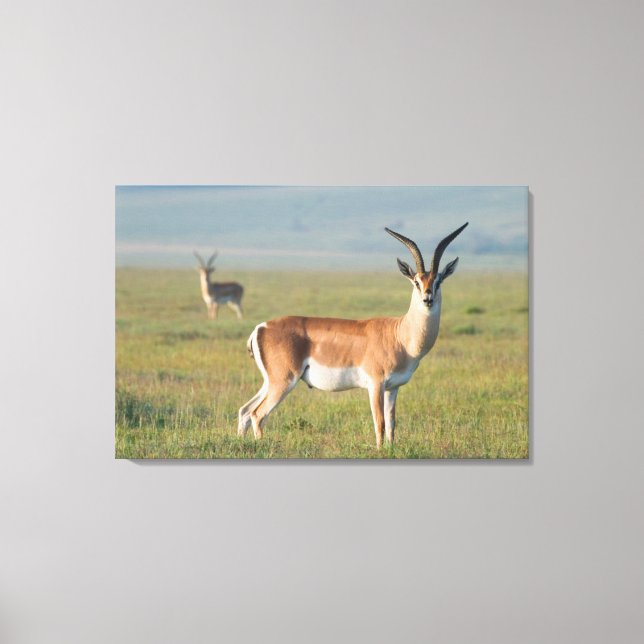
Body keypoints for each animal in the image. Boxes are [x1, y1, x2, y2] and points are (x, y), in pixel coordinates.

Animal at [237, 222, 468, 448]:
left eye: (438, 281)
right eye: (416, 281)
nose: (427, 299)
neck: (400, 336)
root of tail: (261, 327)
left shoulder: (393, 388)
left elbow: (392, 424)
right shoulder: (375, 384)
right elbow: (379, 423)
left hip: (270, 381)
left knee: (245, 410)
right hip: (284, 380)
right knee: (258, 414)